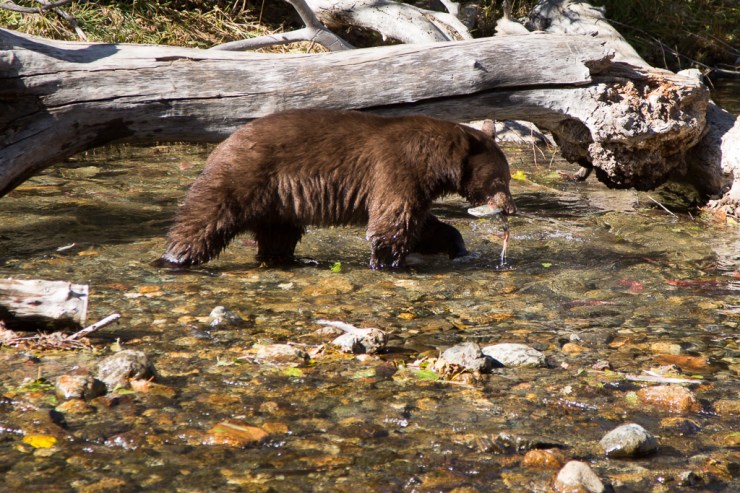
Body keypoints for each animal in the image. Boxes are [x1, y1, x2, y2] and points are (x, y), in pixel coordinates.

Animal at [157, 109, 516, 270]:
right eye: (502, 179)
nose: (510, 208)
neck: (434, 162)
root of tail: (225, 142)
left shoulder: (416, 185)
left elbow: (423, 224)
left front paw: (459, 248)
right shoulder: (397, 168)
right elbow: (393, 220)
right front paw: (386, 261)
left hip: (278, 202)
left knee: (278, 234)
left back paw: (286, 259)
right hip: (244, 177)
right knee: (207, 216)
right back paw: (173, 257)